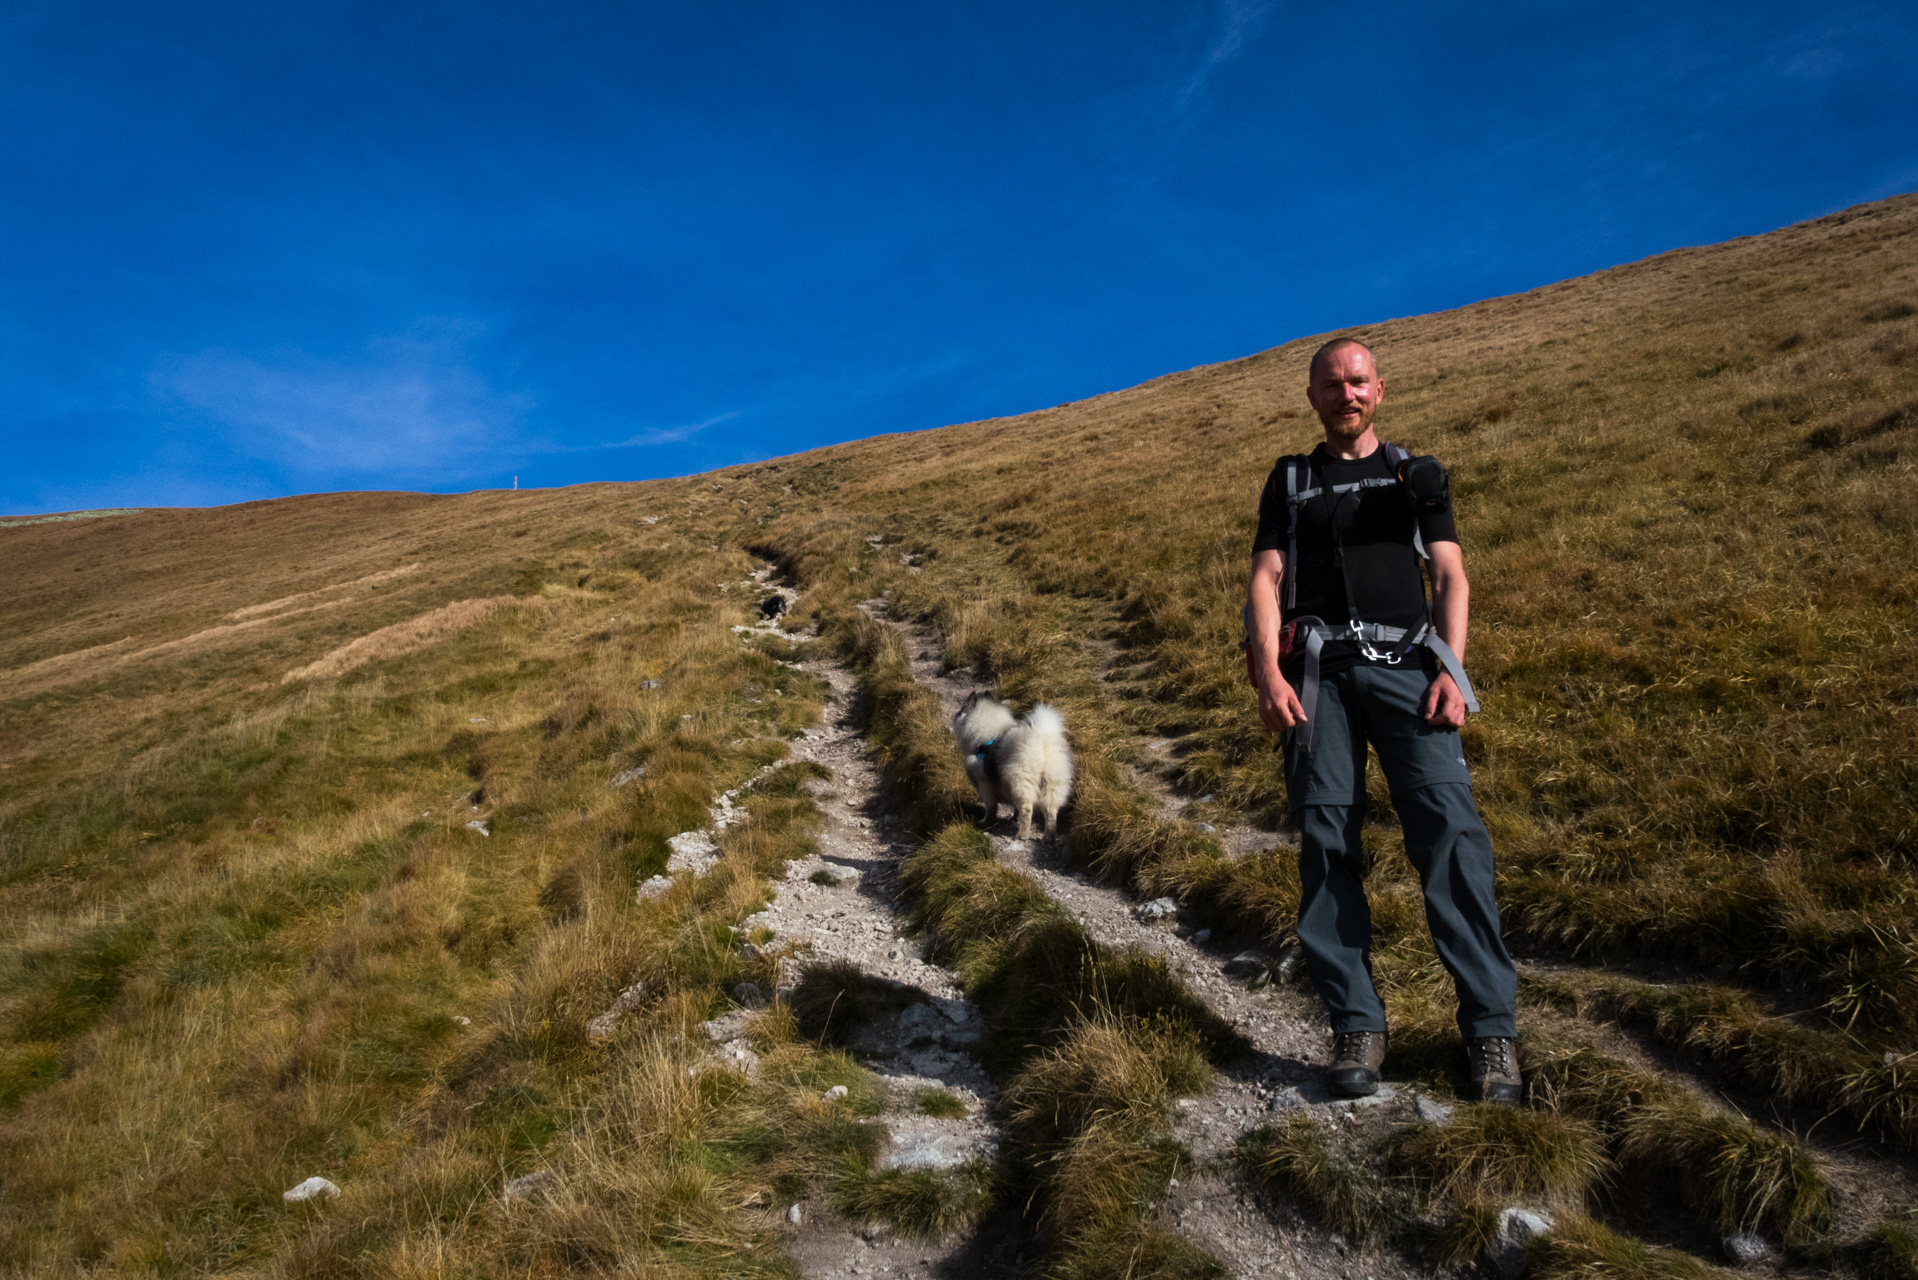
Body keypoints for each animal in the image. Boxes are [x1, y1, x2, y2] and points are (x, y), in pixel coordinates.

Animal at [951, 690, 1074, 840]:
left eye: (961, 711)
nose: (956, 715)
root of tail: (1041, 741)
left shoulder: (984, 785)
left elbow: (990, 807)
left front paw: (985, 821)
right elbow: (1015, 808)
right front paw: (1015, 818)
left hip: (1020, 782)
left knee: (1027, 808)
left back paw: (1022, 834)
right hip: (1052, 785)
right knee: (1051, 812)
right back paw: (1048, 838)